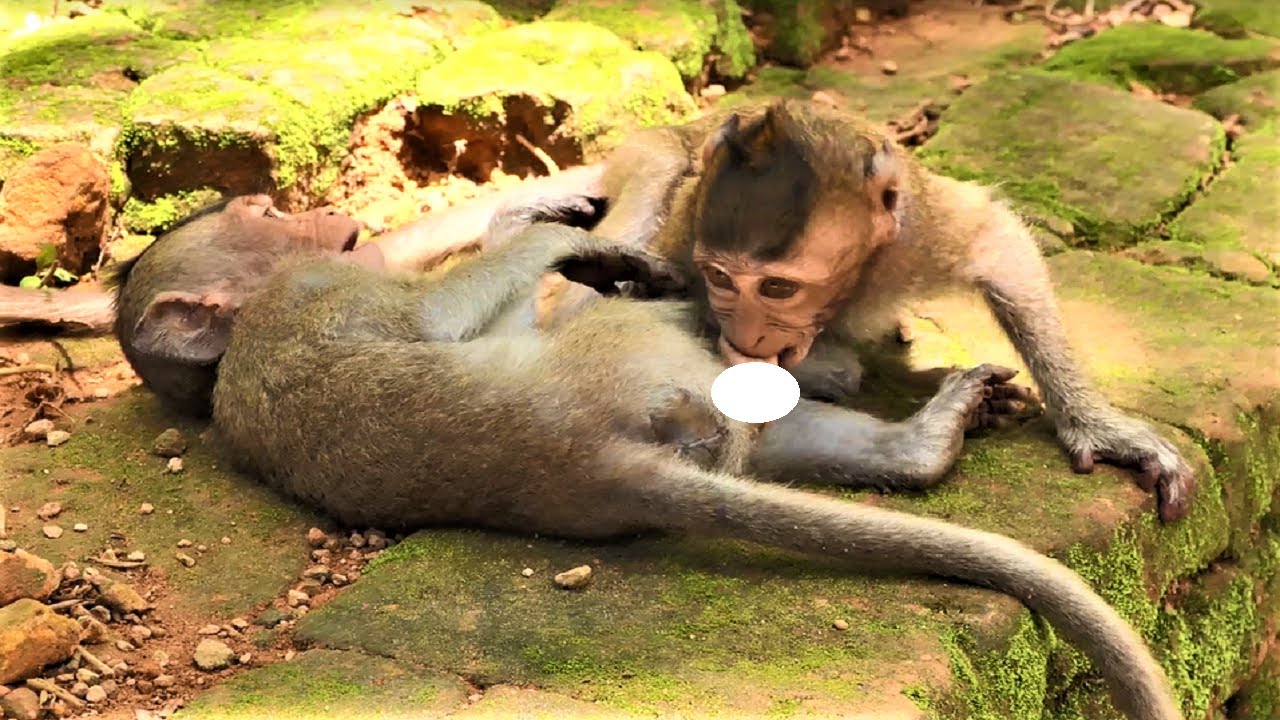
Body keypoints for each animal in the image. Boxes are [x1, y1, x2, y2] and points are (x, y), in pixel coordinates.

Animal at [538, 99, 1196, 523]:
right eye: (722, 279)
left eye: (778, 289)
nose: (746, 334)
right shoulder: (681, 245)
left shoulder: (919, 233)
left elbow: (999, 246)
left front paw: (1098, 425)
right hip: (645, 156)